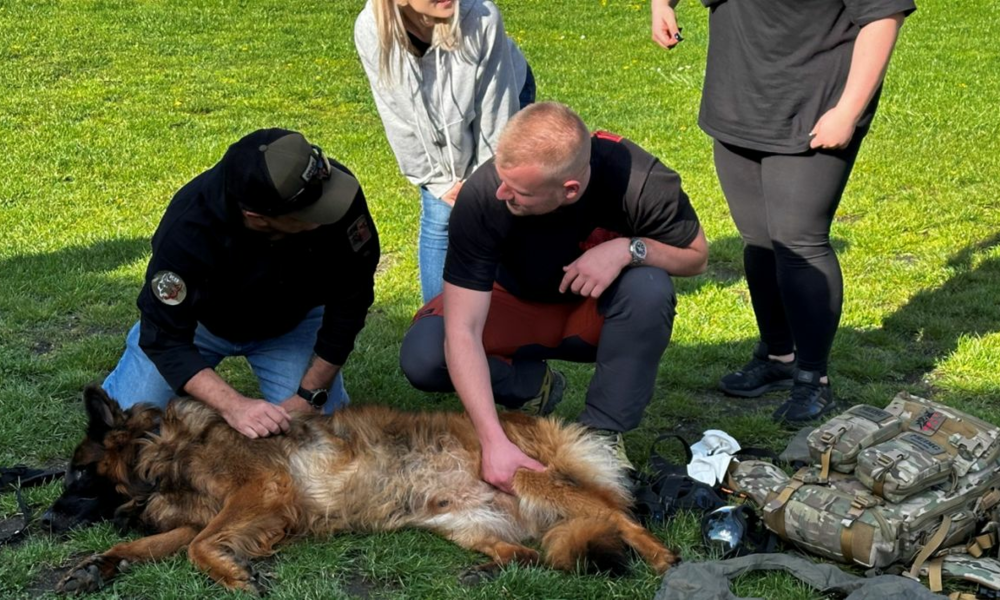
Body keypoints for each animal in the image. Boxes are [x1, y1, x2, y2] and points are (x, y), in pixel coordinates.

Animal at [50, 386, 684, 592]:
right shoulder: (206, 513)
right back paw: (497, 566)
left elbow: (200, 546)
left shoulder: (261, 490)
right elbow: (161, 543)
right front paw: (99, 562)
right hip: (460, 524)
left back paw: (661, 559)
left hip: (527, 477)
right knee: (527, 553)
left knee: (622, 518)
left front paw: (233, 575)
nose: (47, 520)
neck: (163, 450)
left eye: (77, 473)